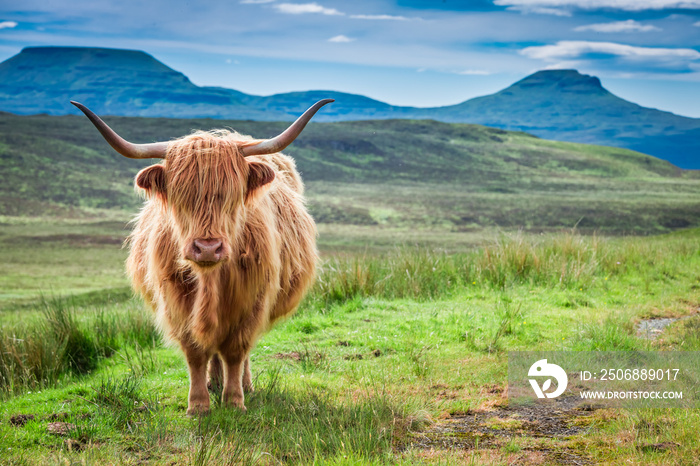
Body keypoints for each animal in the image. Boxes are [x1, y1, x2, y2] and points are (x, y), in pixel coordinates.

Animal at [72, 100, 334, 414]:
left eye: (232, 196)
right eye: (180, 196)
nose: (207, 248)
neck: (210, 279)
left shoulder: (252, 300)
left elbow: (235, 350)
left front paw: (234, 401)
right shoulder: (176, 300)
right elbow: (196, 351)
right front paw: (198, 405)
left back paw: (242, 385)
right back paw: (214, 382)